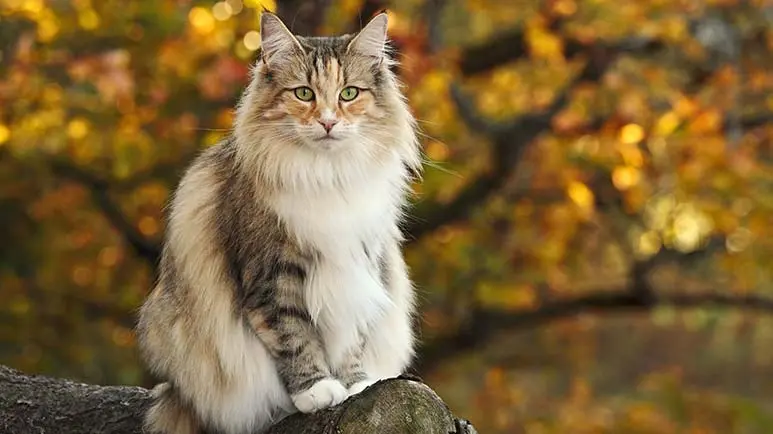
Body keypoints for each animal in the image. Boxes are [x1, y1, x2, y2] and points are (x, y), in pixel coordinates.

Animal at [134, 10, 422, 434]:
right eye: (303, 94)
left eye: (348, 94)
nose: (328, 123)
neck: (327, 175)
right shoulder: (272, 273)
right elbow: (294, 336)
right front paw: (317, 390)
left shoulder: (358, 265)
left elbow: (350, 338)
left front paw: (355, 385)